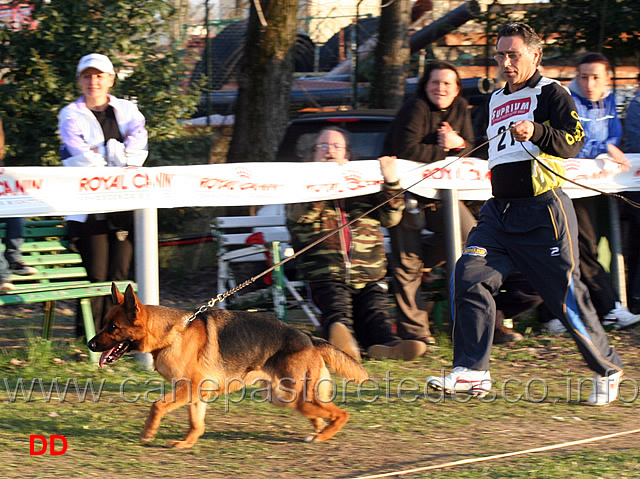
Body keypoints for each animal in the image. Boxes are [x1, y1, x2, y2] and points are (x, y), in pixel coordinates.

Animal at [90, 284, 370, 448]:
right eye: (103, 323)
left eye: (113, 327)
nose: (91, 344)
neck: (172, 333)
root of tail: (309, 338)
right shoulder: (195, 393)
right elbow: (196, 423)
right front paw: (187, 443)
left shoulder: (187, 389)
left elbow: (156, 405)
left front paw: (148, 433)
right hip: (284, 397)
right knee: (320, 413)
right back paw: (319, 430)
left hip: (294, 396)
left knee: (341, 414)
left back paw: (322, 435)